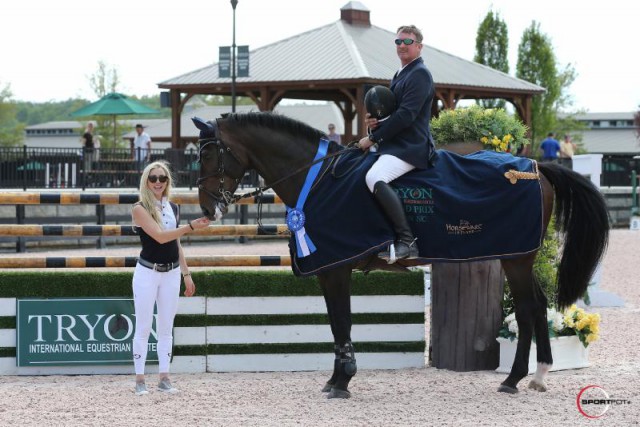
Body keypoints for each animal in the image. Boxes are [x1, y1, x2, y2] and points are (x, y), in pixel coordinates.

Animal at [194, 112, 608, 400]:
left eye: (211, 154)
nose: (207, 207)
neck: (318, 181)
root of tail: (535, 168)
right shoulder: (329, 271)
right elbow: (336, 325)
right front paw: (335, 379)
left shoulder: (336, 269)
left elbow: (341, 322)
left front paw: (342, 381)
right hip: (519, 255)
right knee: (537, 305)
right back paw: (537, 375)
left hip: (516, 257)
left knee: (525, 308)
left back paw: (514, 378)